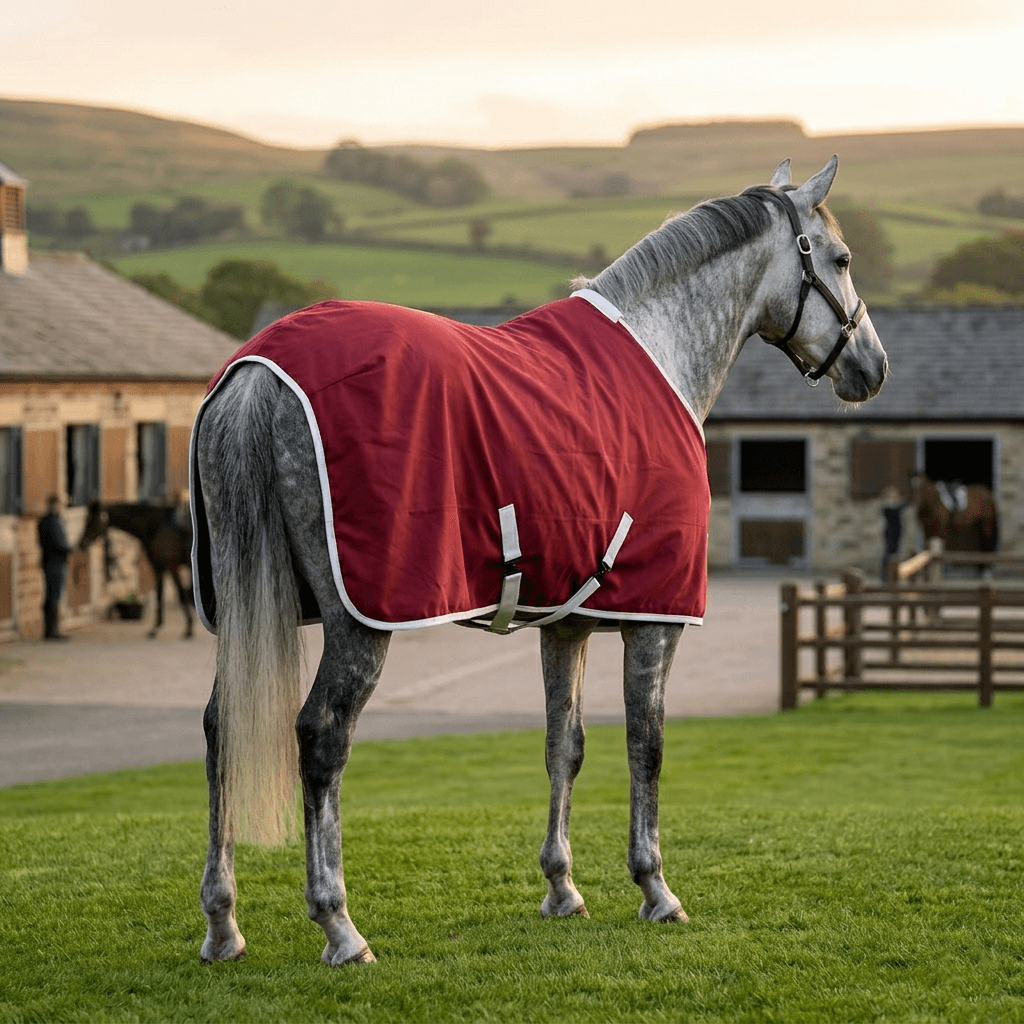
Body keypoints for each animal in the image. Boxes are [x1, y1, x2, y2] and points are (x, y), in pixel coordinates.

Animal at [78, 500, 195, 639]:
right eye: (86, 519)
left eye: (92, 520)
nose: (81, 544)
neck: (155, 526)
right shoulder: (158, 567)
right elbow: (159, 596)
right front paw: (155, 629)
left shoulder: (172, 566)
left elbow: (181, 594)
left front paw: (188, 629)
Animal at [192, 157, 887, 966]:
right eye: (840, 259)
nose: (872, 368)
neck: (662, 348)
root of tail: (260, 372)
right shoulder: (656, 618)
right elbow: (646, 744)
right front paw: (656, 889)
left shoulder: (569, 621)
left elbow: (566, 744)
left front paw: (562, 888)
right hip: (359, 622)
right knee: (322, 737)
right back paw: (339, 925)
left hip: (248, 605)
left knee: (220, 728)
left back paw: (222, 925)